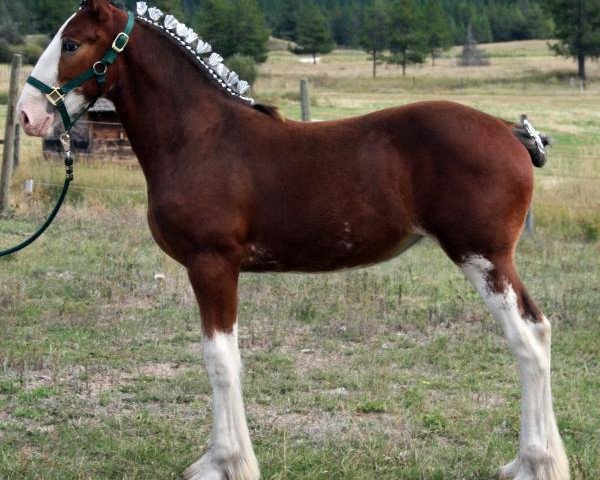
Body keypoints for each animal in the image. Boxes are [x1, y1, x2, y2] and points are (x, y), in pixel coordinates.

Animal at [16, 1, 568, 478]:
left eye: (72, 43)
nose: (26, 116)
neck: (199, 137)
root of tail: (509, 131)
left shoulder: (212, 264)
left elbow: (220, 361)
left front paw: (226, 464)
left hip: (484, 257)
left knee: (528, 338)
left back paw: (535, 464)